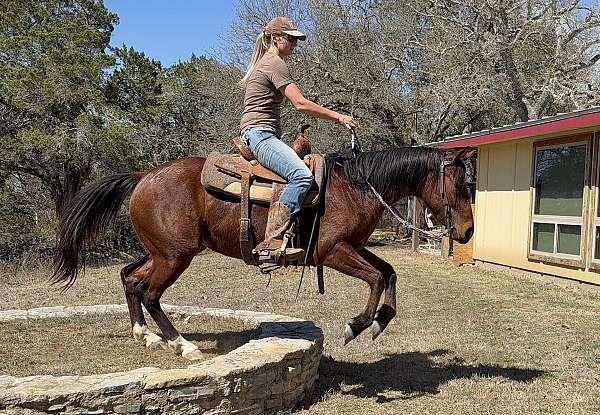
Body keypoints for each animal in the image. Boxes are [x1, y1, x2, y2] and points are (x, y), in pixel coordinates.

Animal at [52, 146, 474, 360]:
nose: (468, 231)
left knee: (130, 278)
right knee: (150, 292)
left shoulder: (353, 248)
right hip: (174, 257)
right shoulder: (333, 251)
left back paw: (146, 335)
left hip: (161, 252)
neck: (355, 187)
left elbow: (388, 273)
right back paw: (183, 345)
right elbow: (374, 278)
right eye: (461, 184)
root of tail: (144, 176)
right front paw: (356, 325)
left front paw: (380, 320)